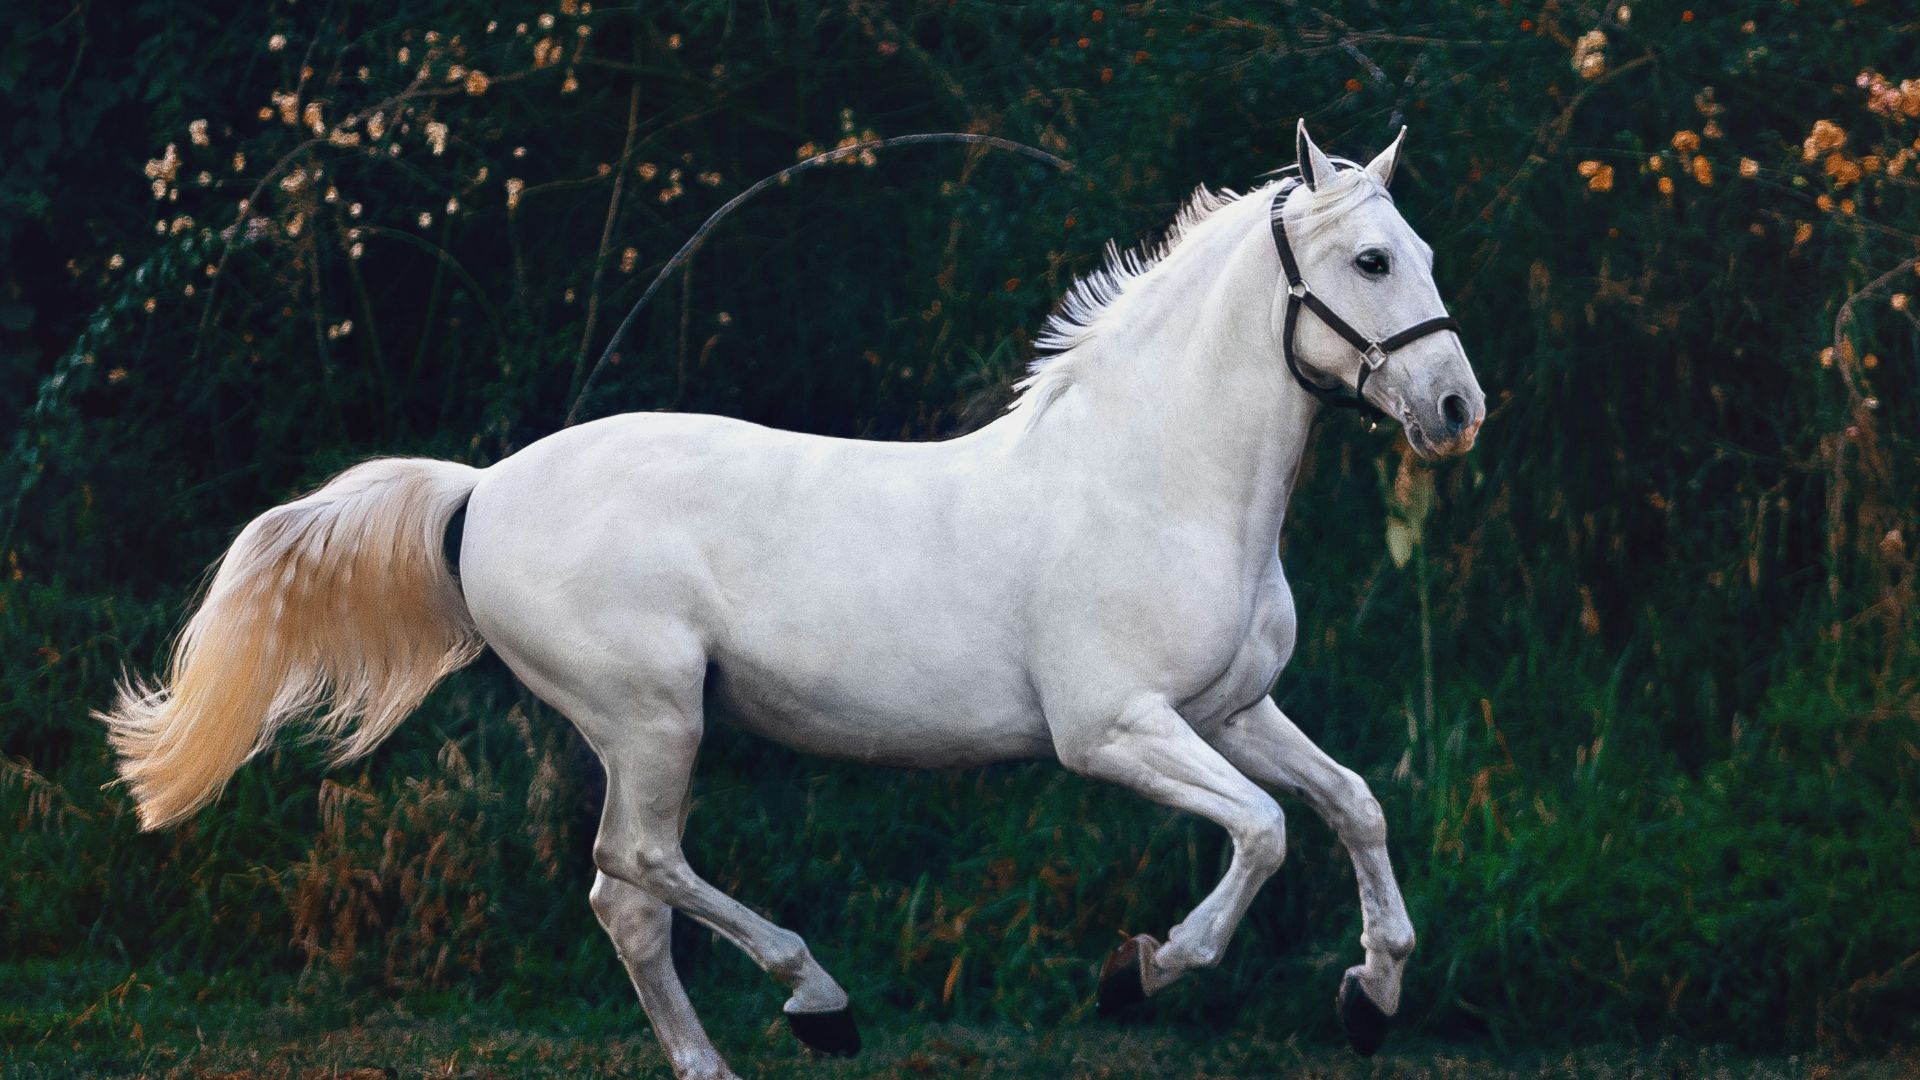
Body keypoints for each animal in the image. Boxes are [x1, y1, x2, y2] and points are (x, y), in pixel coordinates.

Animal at [102, 121, 1485, 1079]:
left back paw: (723, 1055)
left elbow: (1352, 806)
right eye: (1371, 259)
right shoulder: (1113, 731)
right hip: (652, 716)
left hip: (647, 727)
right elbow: (1265, 831)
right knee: (635, 867)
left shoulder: (1232, 709)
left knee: (626, 901)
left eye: (1423, 253)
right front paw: (1139, 975)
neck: (1155, 480)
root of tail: (482, 489)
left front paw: (1373, 995)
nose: (1458, 408)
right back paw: (818, 1002)